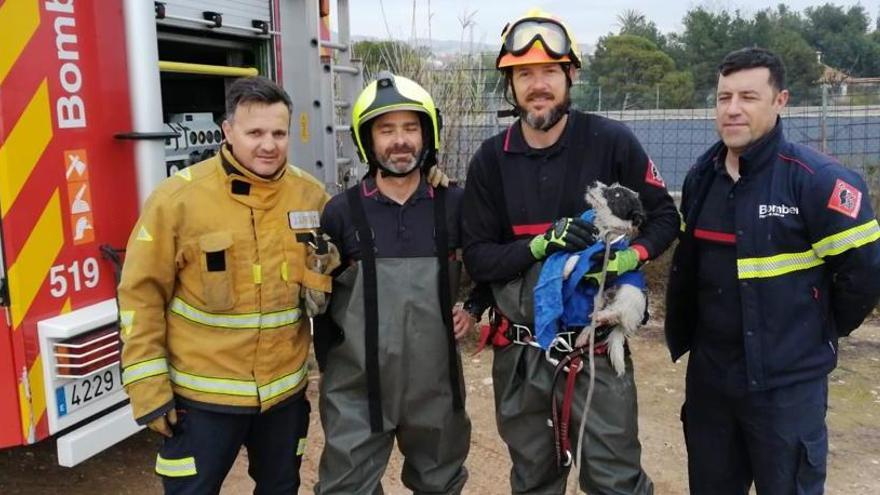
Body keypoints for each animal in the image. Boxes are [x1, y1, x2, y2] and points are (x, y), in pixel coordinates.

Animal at [528, 209, 648, 352]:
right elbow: (574, 256)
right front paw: (566, 269)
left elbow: (579, 258)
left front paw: (566, 270)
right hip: (598, 297)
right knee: (595, 321)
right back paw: (585, 334)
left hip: (629, 291)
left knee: (618, 312)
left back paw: (604, 316)